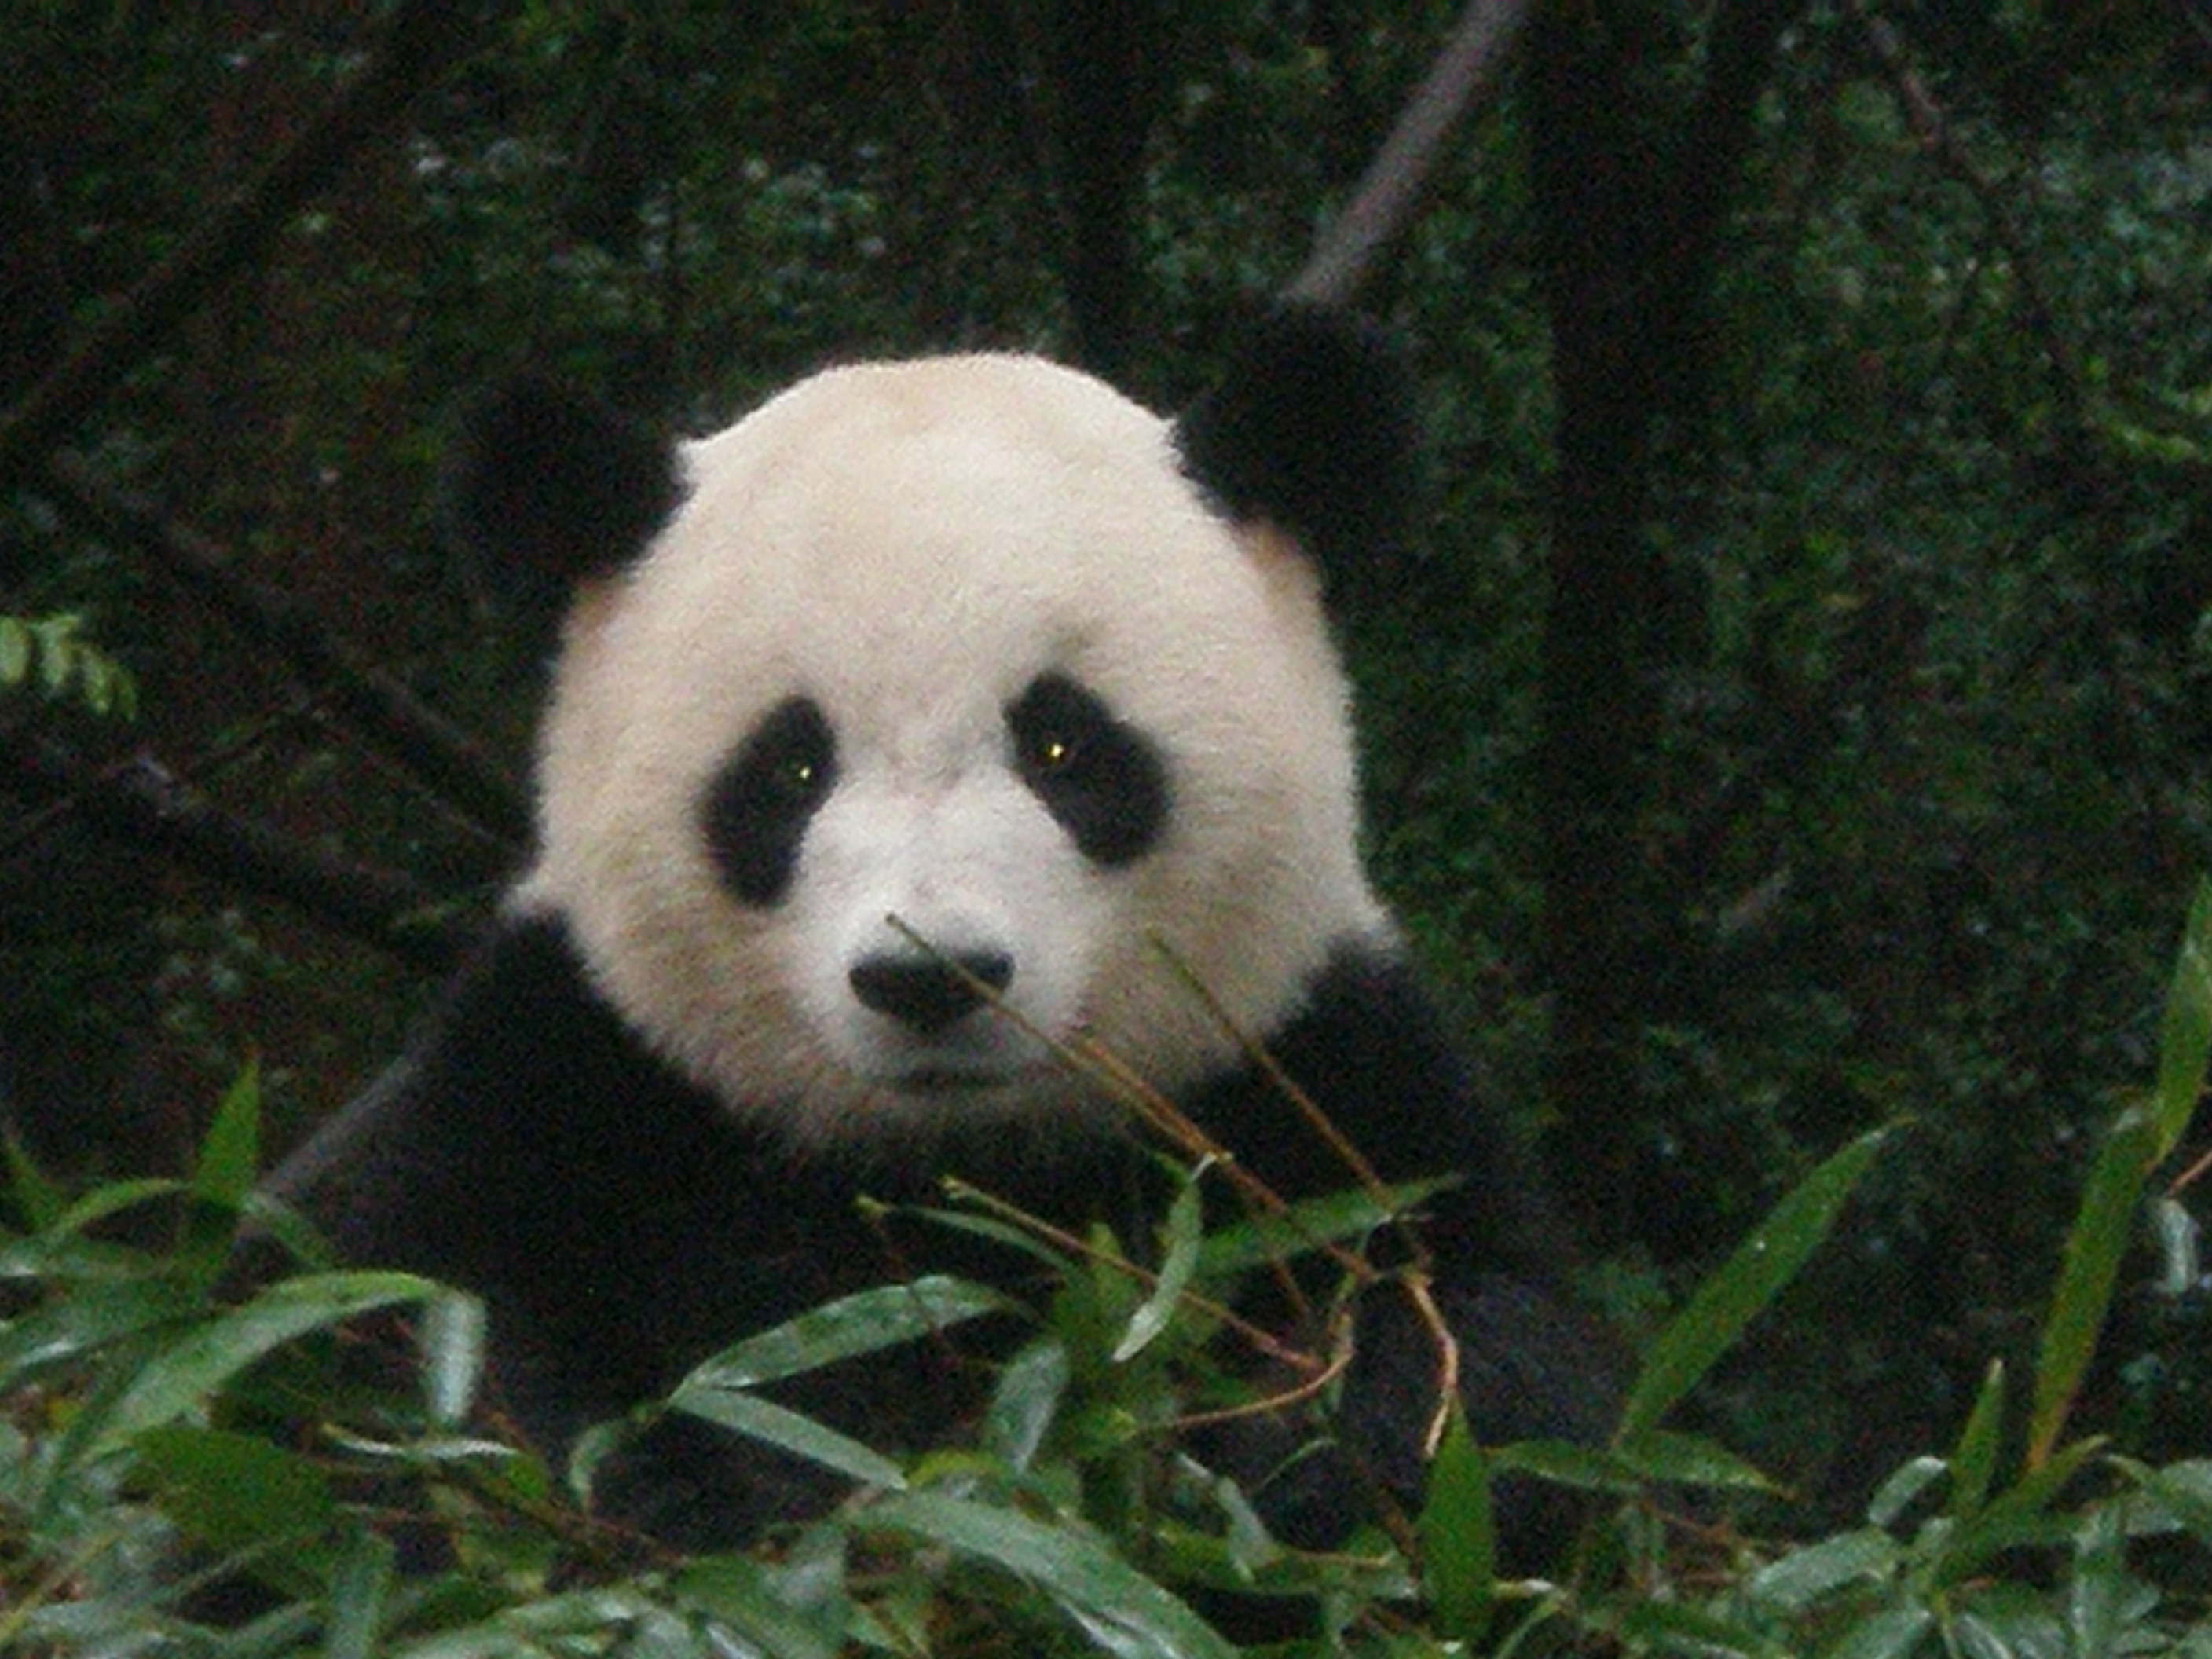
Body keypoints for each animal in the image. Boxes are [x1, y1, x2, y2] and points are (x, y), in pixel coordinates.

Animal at [267, 305, 1615, 1560]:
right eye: (790, 768)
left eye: (1065, 745)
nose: (930, 978)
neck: (950, 1167)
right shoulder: (574, 1074)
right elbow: (429, 1380)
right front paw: (714, 1499)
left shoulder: (1316, 1068)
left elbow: (1485, 1357)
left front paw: (1303, 1455)